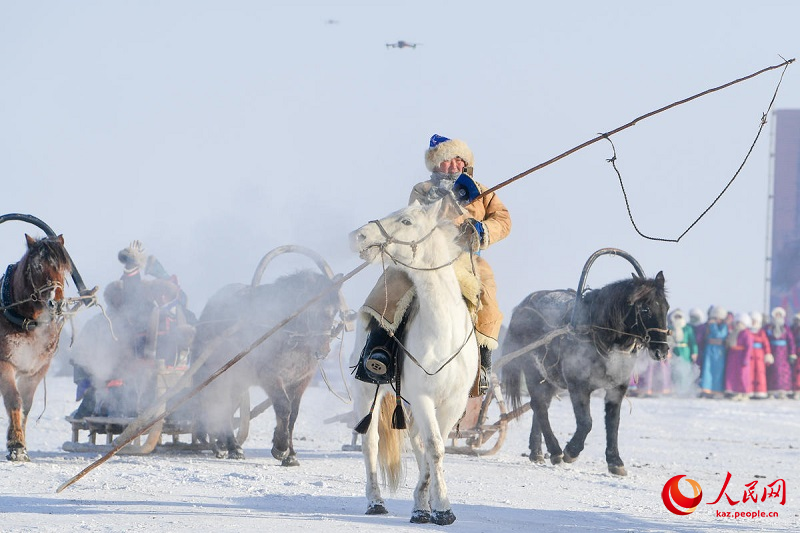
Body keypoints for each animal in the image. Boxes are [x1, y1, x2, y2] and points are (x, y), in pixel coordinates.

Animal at [0, 235, 72, 460]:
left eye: (65, 267)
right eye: (37, 266)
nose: (56, 304)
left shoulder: (37, 369)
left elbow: (26, 404)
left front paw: (18, 441)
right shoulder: (4, 363)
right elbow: (14, 400)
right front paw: (16, 445)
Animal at [348, 198, 476, 524]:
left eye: (406, 221)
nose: (358, 236)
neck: (444, 332)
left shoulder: (452, 403)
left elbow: (433, 449)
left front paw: (426, 505)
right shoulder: (422, 397)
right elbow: (435, 447)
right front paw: (441, 508)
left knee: (416, 441)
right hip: (366, 392)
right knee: (370, 444)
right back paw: (375, 502)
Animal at [500, 264, 668, 476]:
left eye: (666, 307)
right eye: (645, 308)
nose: (662, 351)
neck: (599, 333)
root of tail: (522, 307)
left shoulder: (617, 388)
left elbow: (613, 423)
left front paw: (615, 461)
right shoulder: (578, 386)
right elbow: (586, 422)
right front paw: (571, 451)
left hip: (549, 378)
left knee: (540, 405)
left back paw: (537, 452)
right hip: (533, 371)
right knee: (539, 406)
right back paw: (555, 450)